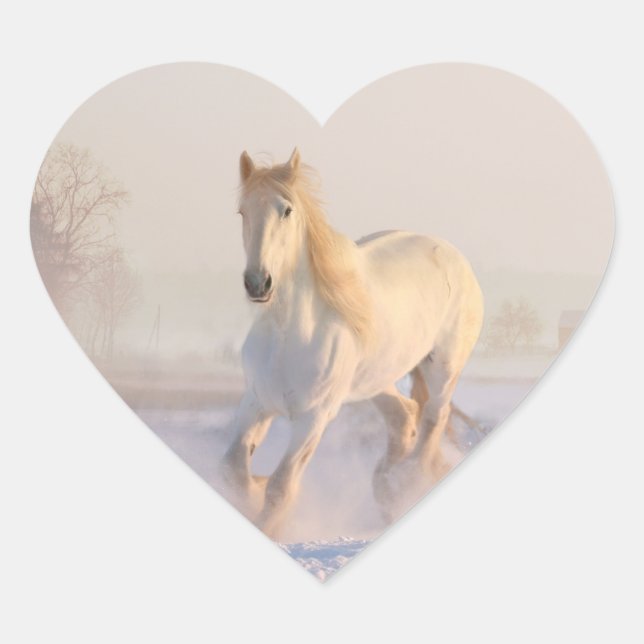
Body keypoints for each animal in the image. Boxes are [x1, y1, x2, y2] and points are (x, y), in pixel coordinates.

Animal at [219, 148, 484, 539]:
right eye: (243, 211)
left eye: (286, 210)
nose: (257, 283)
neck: (288, 335)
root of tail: (454, 256)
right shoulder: (256, 403)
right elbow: (234, 470)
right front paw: (253, 491)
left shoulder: (313, 418)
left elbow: (281, 487)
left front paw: (270, 522)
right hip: (374, 380)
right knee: (404, 415)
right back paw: (387, 489)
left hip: (443, 368)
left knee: (434, 418)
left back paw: (404, 484)